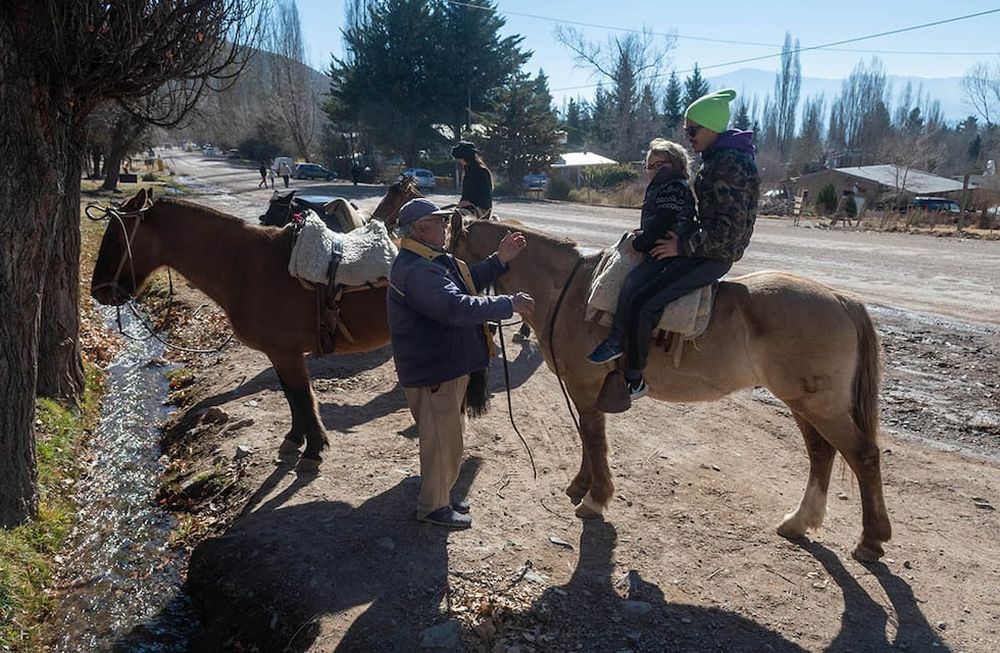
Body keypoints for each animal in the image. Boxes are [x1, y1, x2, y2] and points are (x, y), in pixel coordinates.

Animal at [90, 181, 419, 471]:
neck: (246, 265)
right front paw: (295, 440)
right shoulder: (280, 354)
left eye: (116, 239)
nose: (98, 292)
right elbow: (292, 397)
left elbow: (302, 397)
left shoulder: (286, 352)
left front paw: (313, 451)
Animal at [450, 217, 891, 561]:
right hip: (804, 404)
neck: (570, 289)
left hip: (820, 405)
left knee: (863, 456)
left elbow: (593, 437)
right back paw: (799, 522)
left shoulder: (585, 384)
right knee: (821, 453)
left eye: (449, 248)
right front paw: (581, 485)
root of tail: (841, 299)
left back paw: (871, 540)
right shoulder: (584, 390)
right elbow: (587, 437)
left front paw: (596, 498)